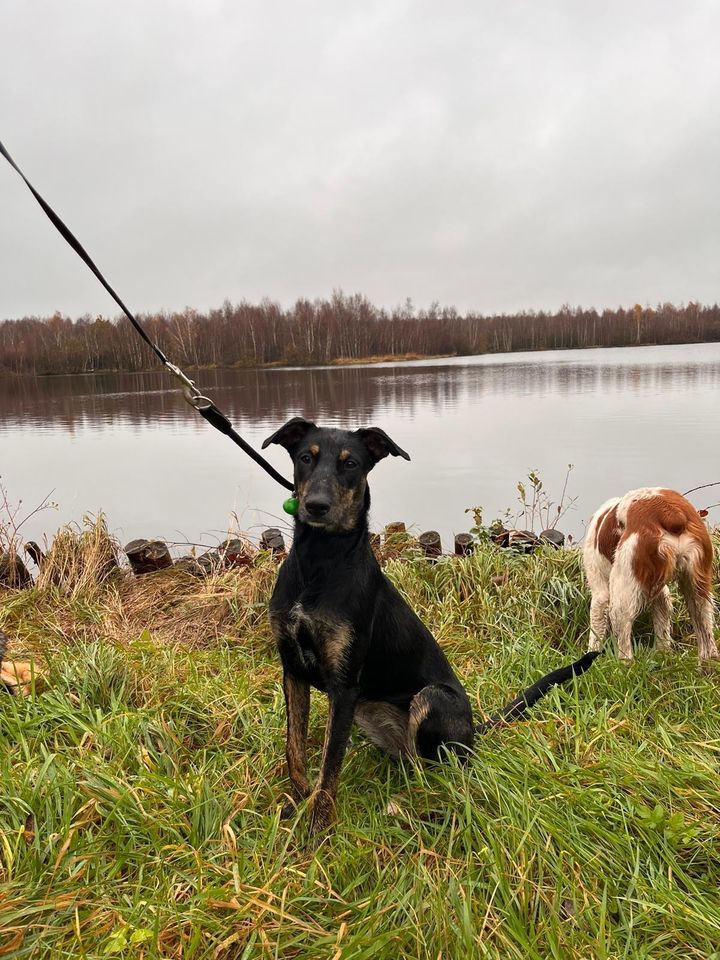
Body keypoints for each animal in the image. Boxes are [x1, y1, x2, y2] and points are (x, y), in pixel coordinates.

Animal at [262, 420, 600, 832]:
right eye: (305, 458)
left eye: (351, 463)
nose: (316, 506)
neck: (319, 562)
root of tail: (473, 732)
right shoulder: (292, 669)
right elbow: (294, 748)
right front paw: (295, 802)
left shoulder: (344, 686)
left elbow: (329, 767)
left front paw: (316, 831)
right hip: (369, 714)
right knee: (413, 762)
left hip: (431, 699)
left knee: (438, 772)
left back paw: (407, 806)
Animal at [584, 488, 716, 660]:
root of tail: (671, 513)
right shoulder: (661, 593)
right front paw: (663, 654)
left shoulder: (600, 592)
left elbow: (596, 630)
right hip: (697, 588)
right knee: (707, 639)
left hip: (621, 596)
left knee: (624, 642)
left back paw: (622, 664)